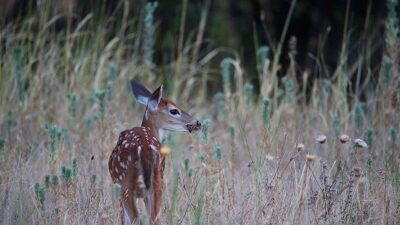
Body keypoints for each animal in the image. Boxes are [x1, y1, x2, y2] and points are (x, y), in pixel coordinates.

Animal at [108, 81, 200, 225]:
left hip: (126, 186)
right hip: (157, 184)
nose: (197, 122)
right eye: (174, 110)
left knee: (136, 219)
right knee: (153, 219)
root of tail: (145, 149)